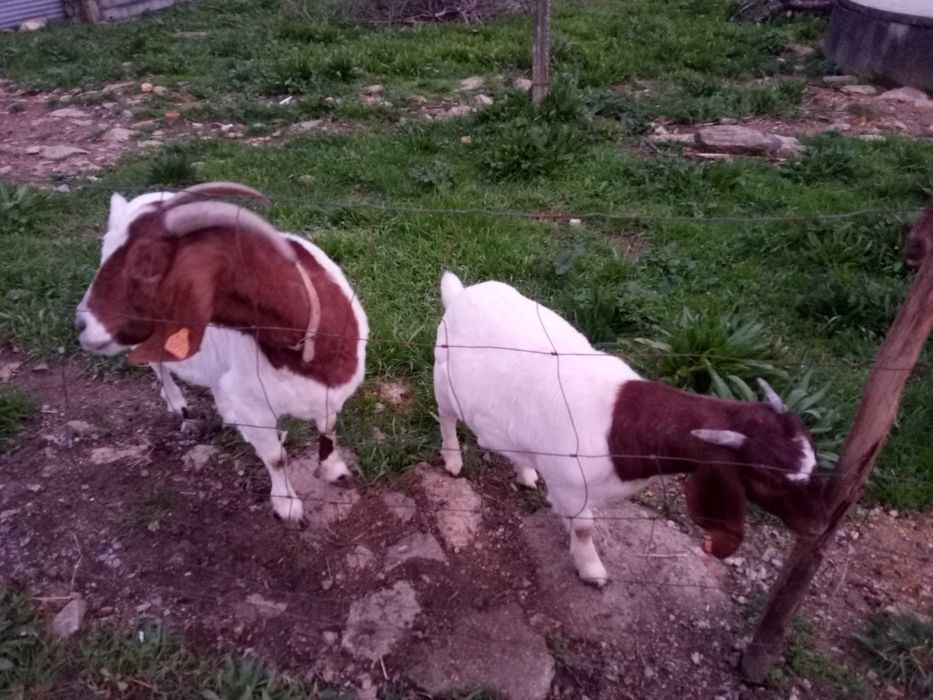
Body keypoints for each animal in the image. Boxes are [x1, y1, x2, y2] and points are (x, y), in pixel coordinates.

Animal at [75, 182, 368, 527]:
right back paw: (178, 404)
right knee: (157, 364)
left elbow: (328, 429)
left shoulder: (330, 391)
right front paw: (287, 506)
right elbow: (276, 458)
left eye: (148, 263)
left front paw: (336, 471)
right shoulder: (255, 408)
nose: (81, 323)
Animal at [433, 272, 826, 586]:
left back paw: (526, 471)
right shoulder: (572, 486)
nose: (819, 526)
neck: (620, 427)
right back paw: (453, 461)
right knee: (447, 417)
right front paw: (592, 571)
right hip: (443, 379)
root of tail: (460, 294)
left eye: (812, 456)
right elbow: (584, 529)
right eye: (767, 477)